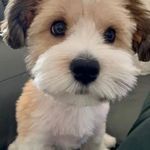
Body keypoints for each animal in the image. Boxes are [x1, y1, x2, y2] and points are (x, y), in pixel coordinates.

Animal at [1, 0, 150, 150]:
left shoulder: (95, 138)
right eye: (58, 27)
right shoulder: (35, 140)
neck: (74, 106)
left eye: (110, 34)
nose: (86, 69)